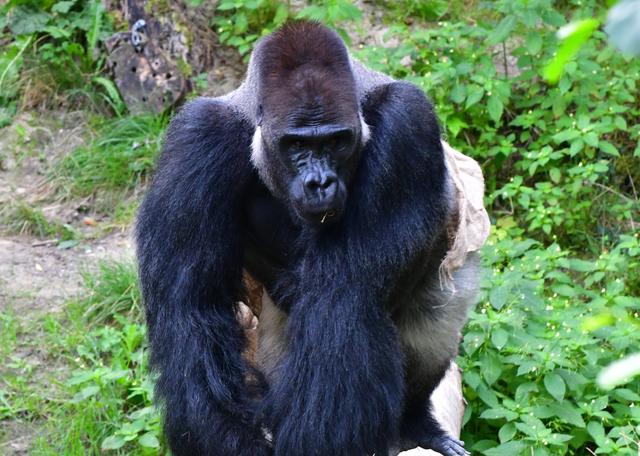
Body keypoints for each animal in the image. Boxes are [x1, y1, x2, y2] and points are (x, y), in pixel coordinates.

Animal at [136, 20, 478, 456]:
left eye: (335, 142)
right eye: (296, 144)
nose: (320, 182)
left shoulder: (408, 118)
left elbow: (343, 299)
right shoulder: (198, 136)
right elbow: (192, 311)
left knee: (432, 326)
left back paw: (413, 423)